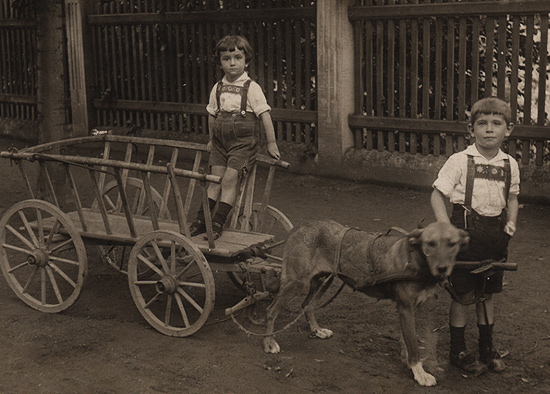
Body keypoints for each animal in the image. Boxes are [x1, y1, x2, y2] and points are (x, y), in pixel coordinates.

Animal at [266, 220, 470, 386]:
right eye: (430, 244)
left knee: (307, 305)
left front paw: (408, 364)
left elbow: (406, 340)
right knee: (271, 311)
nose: (442, 269)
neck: (414, 260)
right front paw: (420, 373)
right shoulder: (406, 309)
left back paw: (317, 330)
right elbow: (412, 345)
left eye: (452, 244)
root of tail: (301, 227)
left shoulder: (412, 309)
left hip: (323, 280)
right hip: (297, 282)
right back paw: (269, 342)